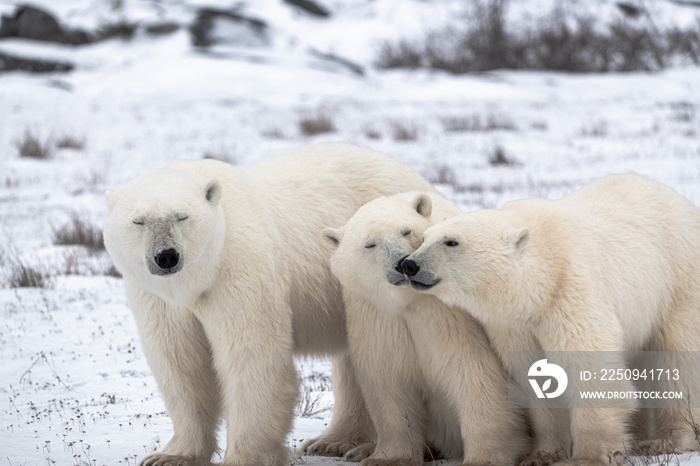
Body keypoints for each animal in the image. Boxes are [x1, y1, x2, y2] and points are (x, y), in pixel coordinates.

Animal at [102, 143, 438, 466]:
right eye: (138, 221)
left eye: (182, 216)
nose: (167, 256)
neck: (198, 279)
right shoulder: (158, 298)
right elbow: (180, 361)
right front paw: (170, 456)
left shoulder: (239, 267)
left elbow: (251, 354)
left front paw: (243, 458)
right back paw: (333, 442)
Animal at [402, 176, 700, 466]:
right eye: (424, 238)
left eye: (452, 242)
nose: (409, 264)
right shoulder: (515, 327)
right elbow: (534, 373)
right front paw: (542, 454)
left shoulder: (571, 293)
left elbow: (588, 364)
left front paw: (587, 457)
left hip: (677, 282)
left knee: (678, 357)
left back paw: (666, 440)